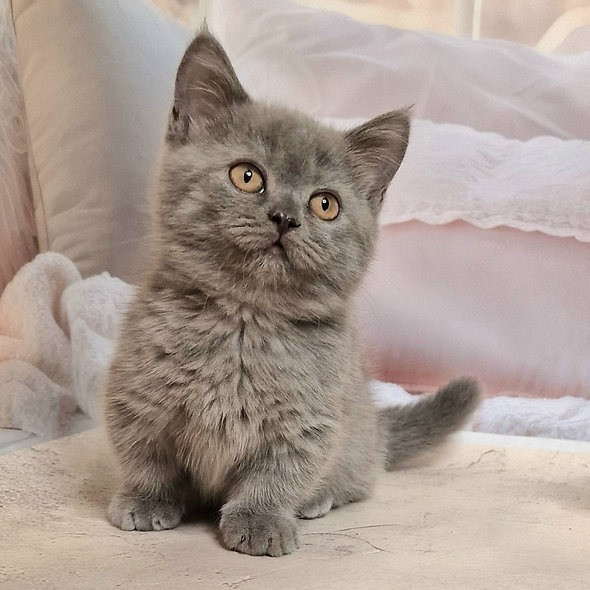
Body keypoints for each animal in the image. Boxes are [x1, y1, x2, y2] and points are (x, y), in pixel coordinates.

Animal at [103, 32, 480, 560]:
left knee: (358, 477)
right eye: (247, 176)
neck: (244, 321)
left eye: (325, 205)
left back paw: (318, 499)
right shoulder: (137, 394)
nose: (285, 217)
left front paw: (260, 521)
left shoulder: (307, 422)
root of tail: (379, 428)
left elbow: (278, 474)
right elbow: (144, 453)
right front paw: (145, 500)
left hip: (354, 432)